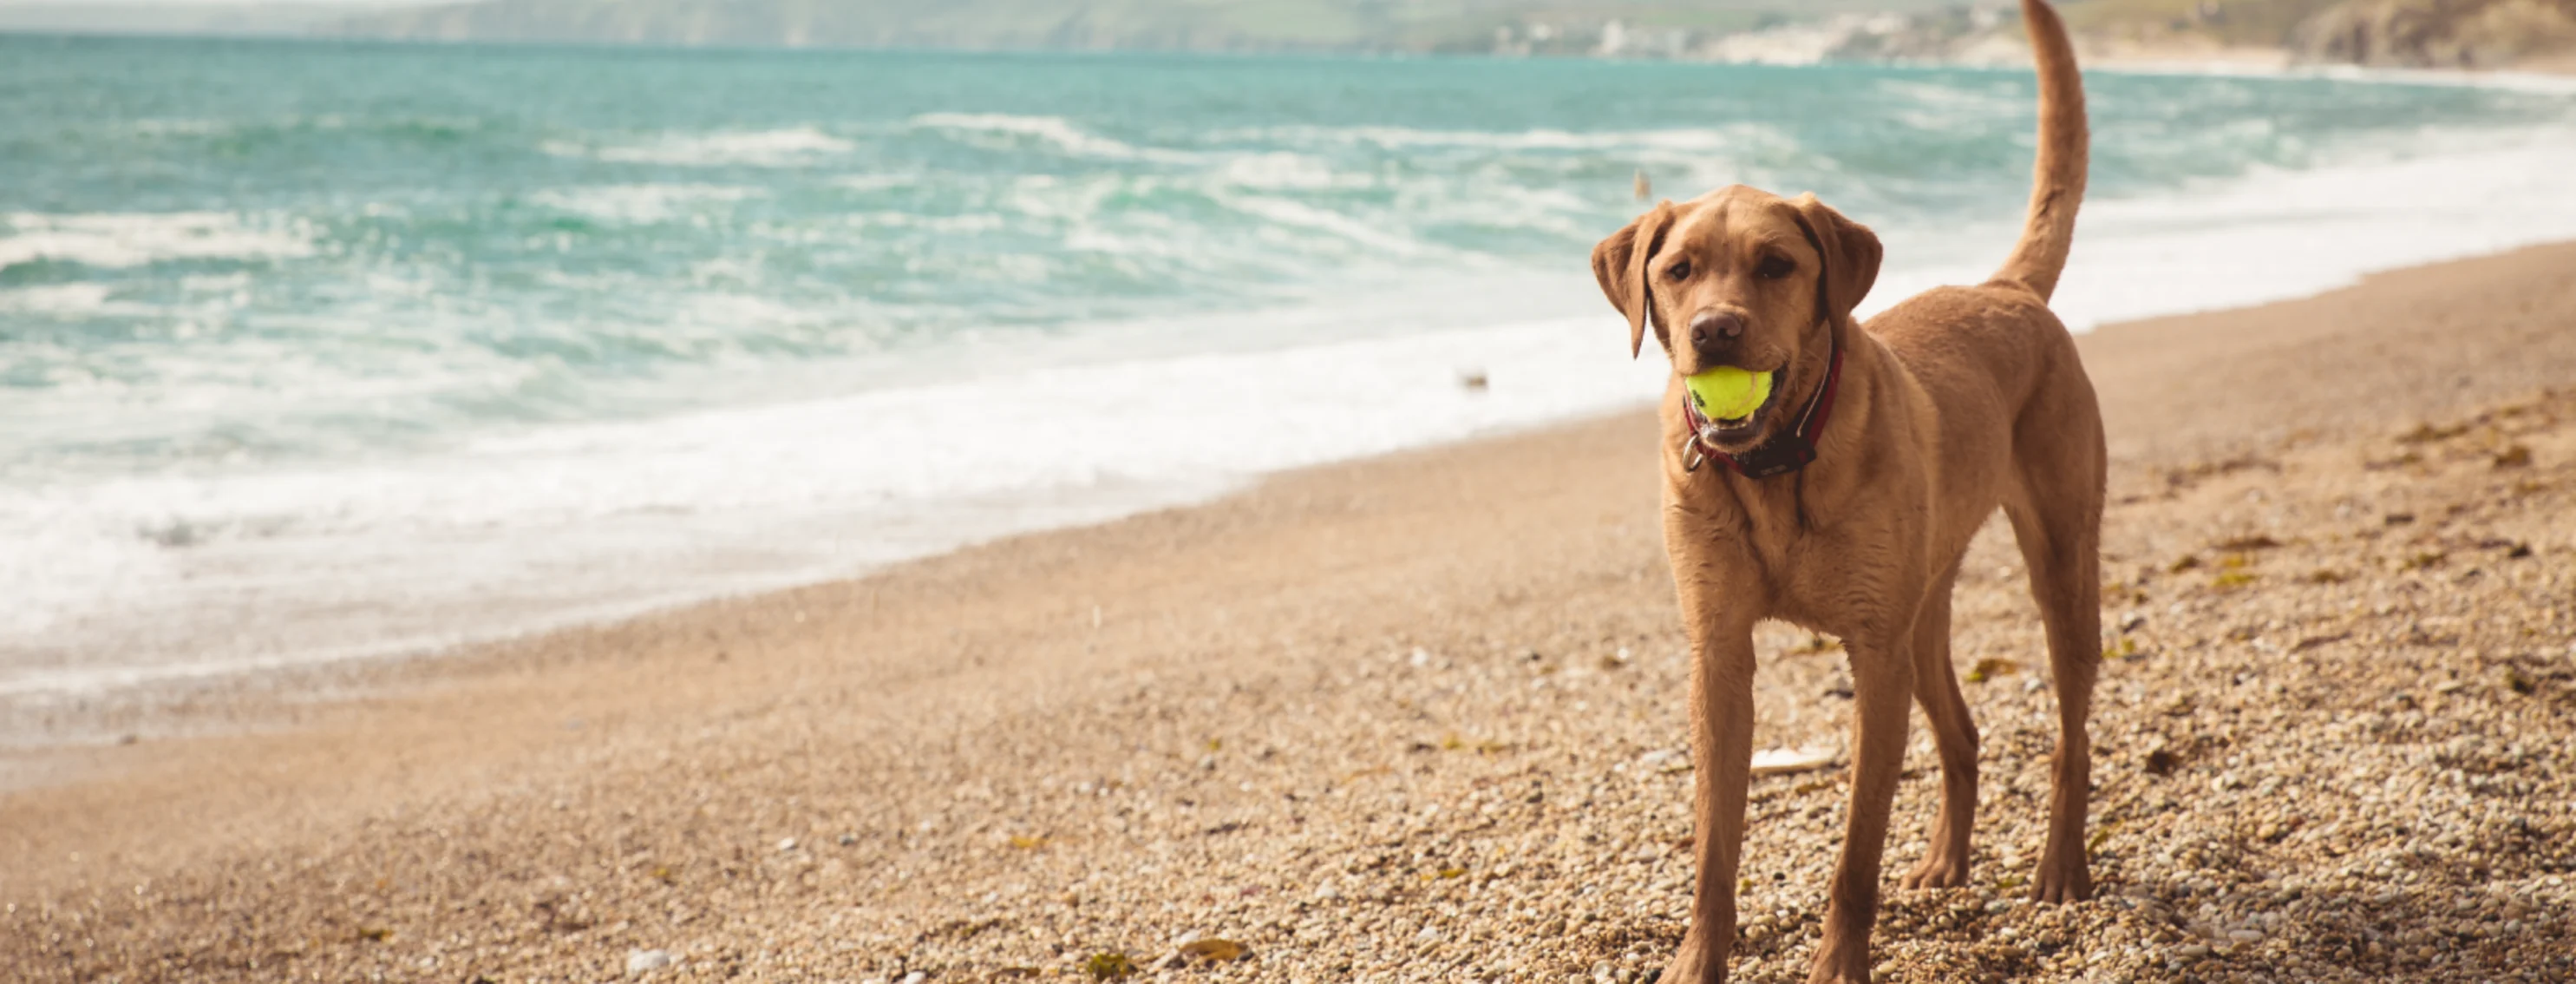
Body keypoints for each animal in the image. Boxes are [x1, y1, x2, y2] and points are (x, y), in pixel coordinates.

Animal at [1586, 3, 2112, 979]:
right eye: (1679, 270)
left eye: (1776, 265)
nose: (1715, 331)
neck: (1776, 461)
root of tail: (2005, 289)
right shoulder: (1719, 654)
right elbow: (1714, 846)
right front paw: (1697, 958)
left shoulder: (1874, 654)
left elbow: (1855, 850)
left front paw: (1838, 960)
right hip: (1926, 606)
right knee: (1962, 732)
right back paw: (1946, 861)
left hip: (2061, 565)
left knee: (2072, 732)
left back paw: (2063, 868)